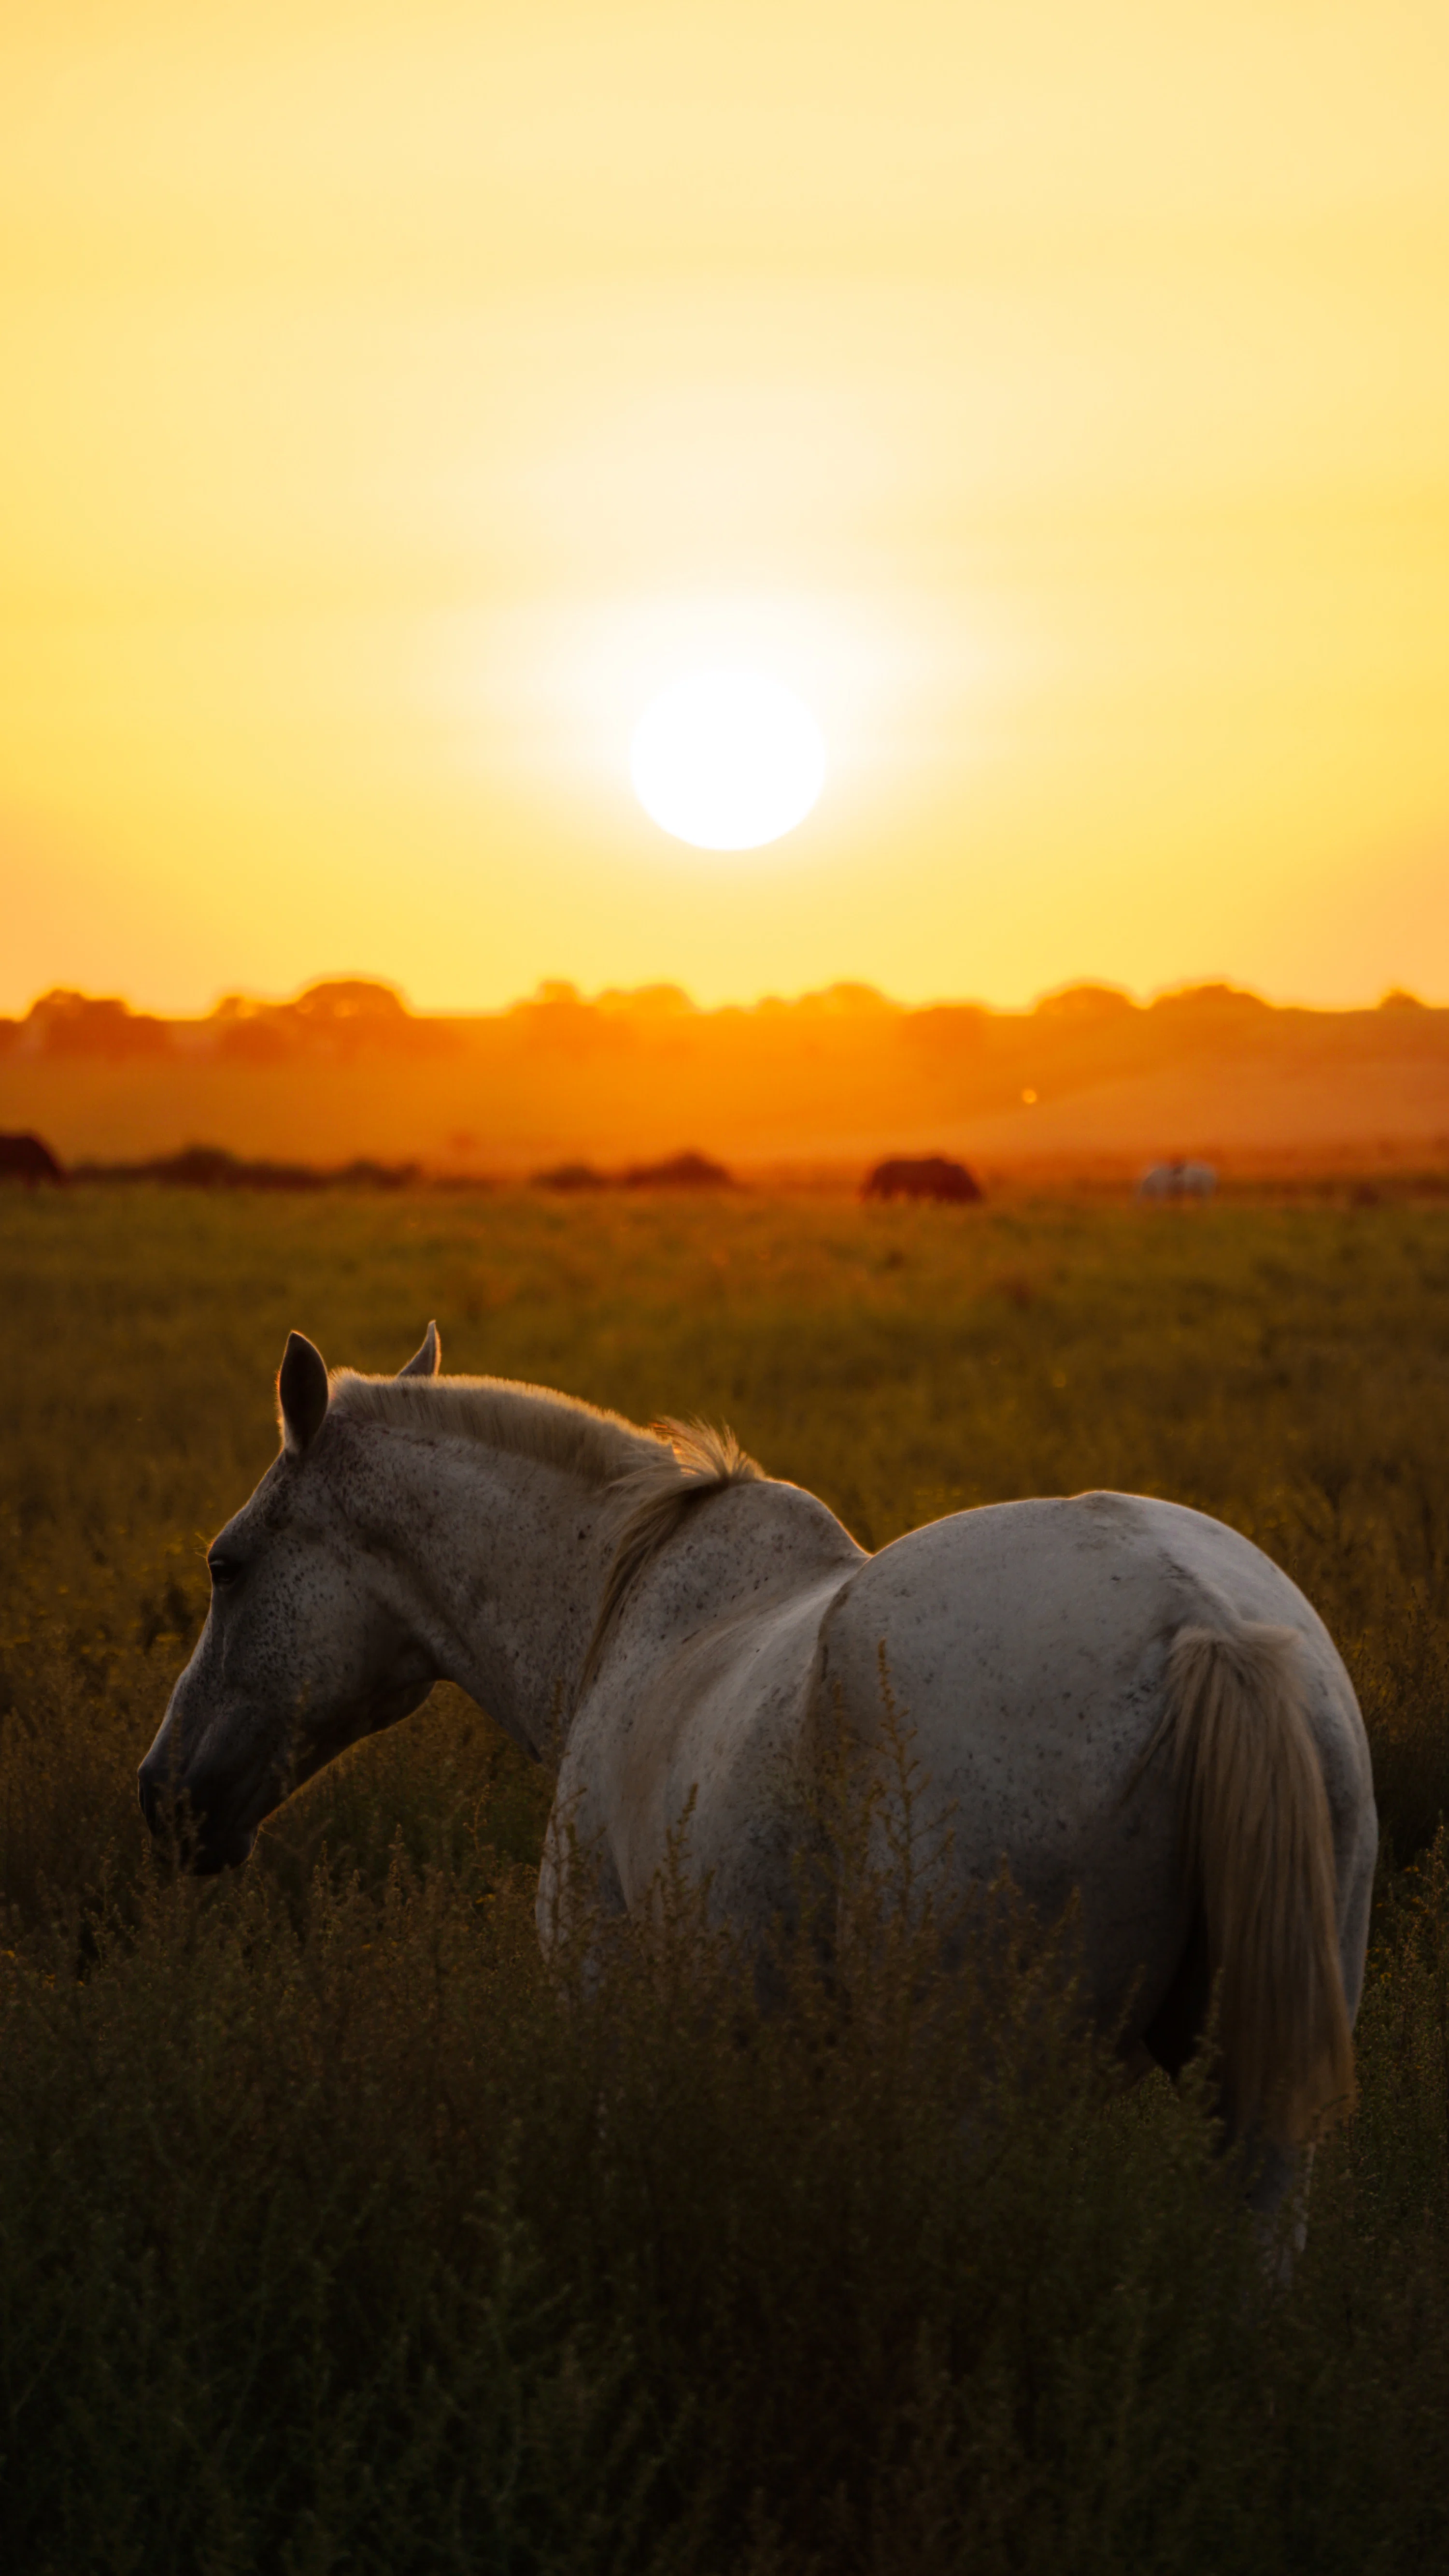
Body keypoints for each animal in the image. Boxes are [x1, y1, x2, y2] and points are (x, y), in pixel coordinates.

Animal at [140, 1323, 1377, 2222]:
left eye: (224, 1563)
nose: (163, 1796)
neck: (618, 1610)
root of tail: (1198, 1620)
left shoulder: (612, 2014)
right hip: (1260, 2107)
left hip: (974, 2095)